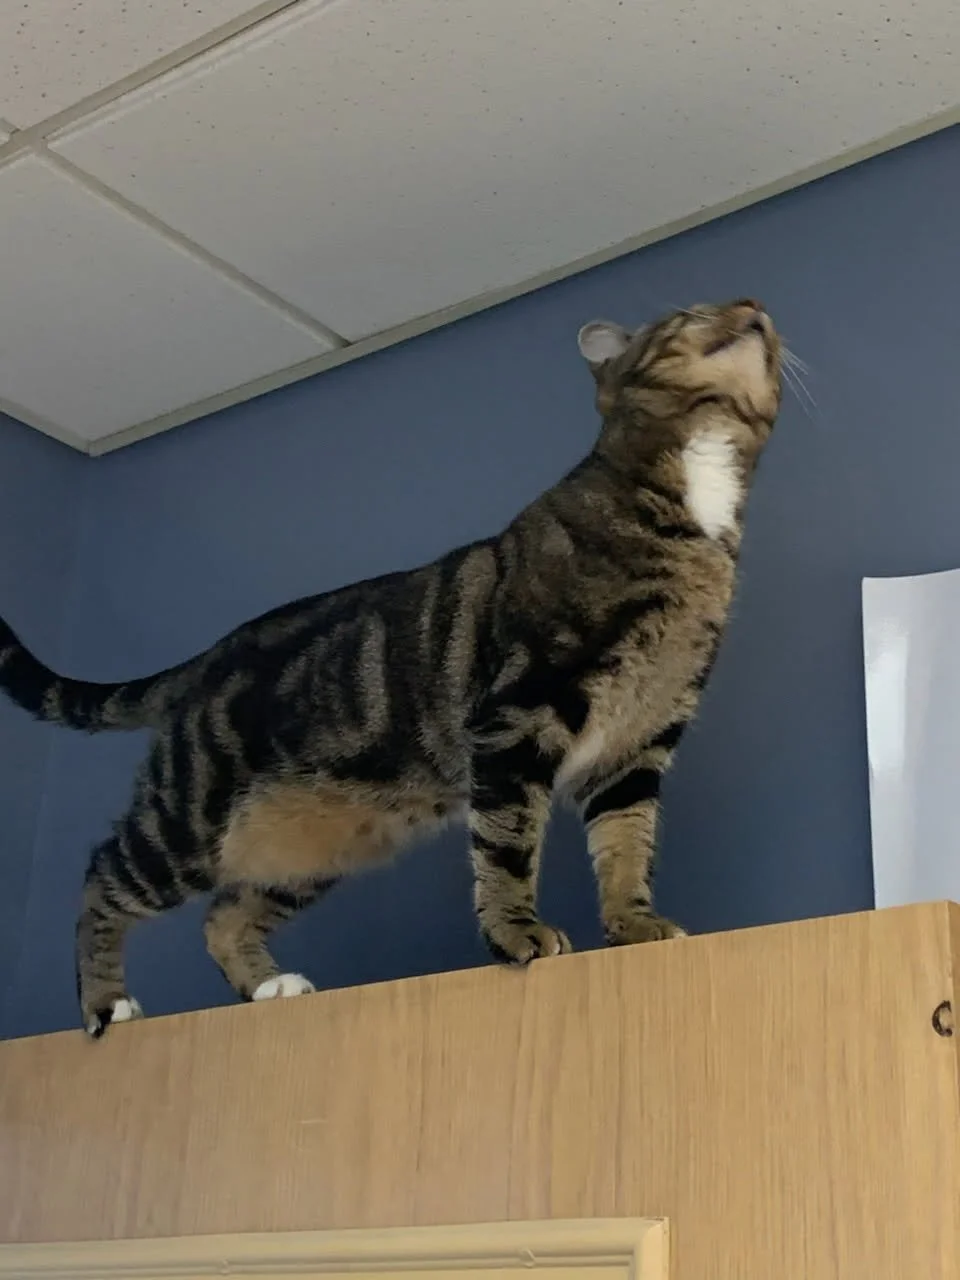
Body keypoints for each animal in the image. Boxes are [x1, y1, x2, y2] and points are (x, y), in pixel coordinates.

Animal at [0, 298, 782, 1037]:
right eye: (690, 311)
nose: (754, 303)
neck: (695, 513)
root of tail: (214, 652)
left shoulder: (638, 743)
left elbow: (626, 845)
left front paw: (636, 927)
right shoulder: (517, 716)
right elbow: (507, 847)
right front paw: (517, 935)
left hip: (311, 846)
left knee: (223, 915)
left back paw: (270, 987)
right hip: (189, 814)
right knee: (103, 875)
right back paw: (107, 1004)